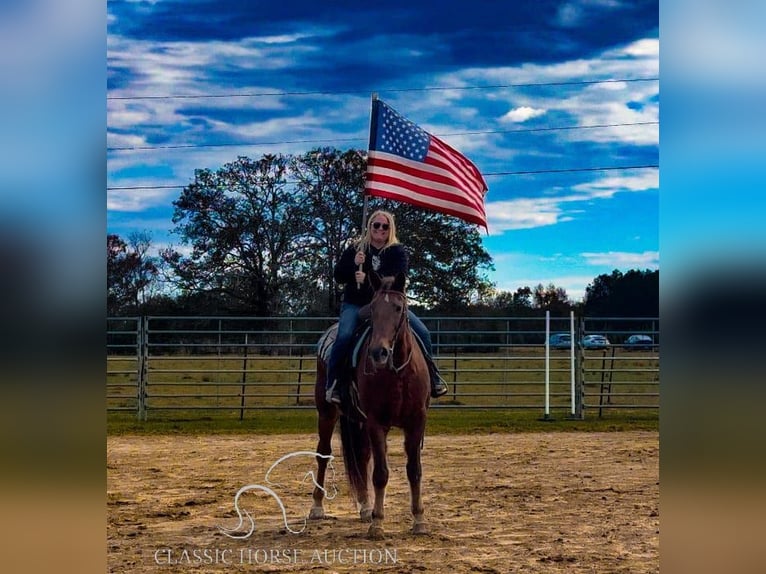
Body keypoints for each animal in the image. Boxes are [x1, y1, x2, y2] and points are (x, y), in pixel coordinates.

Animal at [312, 274, 432, 540]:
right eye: (373, 309)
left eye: (398, 308)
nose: (379, 352)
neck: (397, 373)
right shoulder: (377, 422)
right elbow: (380, 473)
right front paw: (378, 524)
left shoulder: (416, 421)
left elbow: (414, 470)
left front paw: (419, 520)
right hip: (326, 413)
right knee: (323, 453)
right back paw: (317, 507)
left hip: (358, 420)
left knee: (362, 457)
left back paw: (366, 508)